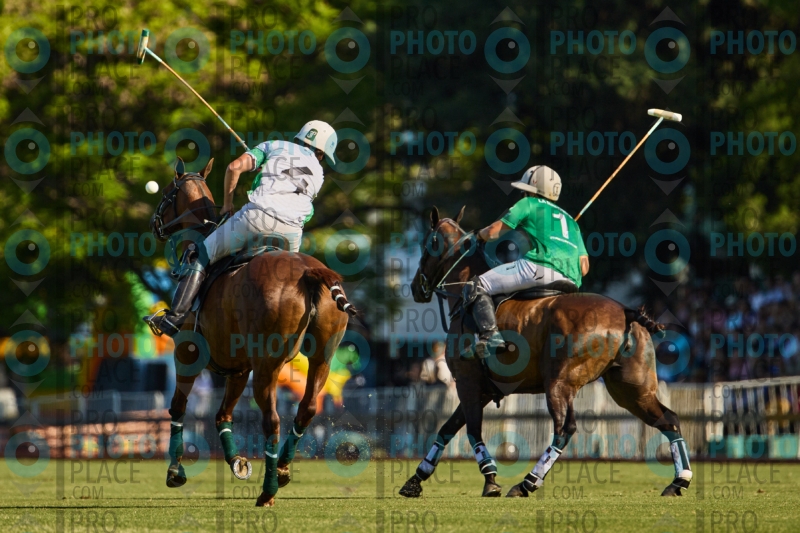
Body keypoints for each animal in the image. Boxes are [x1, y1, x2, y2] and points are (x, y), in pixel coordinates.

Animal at [149, 157, 356, 506]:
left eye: (165, 193)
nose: (155, 226)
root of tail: (311, 272)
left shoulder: (187, 353)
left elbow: (178, 407)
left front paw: (176, 471)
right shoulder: (237, 368)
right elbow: (222, 416)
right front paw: (237, 462)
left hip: (267, 366)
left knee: (271, 420)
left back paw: (267, 491)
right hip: (322, 357)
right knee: (307, 408)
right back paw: (283, 470)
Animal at [398, 207, 692, 499]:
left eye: (427, 244)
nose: (415, 287)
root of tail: (626, 312)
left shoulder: (466, 381)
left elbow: (472, 431)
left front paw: (491, 480)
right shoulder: (484, 388)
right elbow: (447, 429)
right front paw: (415, 480)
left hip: (560, 382)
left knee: (565, 429)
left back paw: (527, 482)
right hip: (631, 389)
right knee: (669, 420)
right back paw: (678, 481)